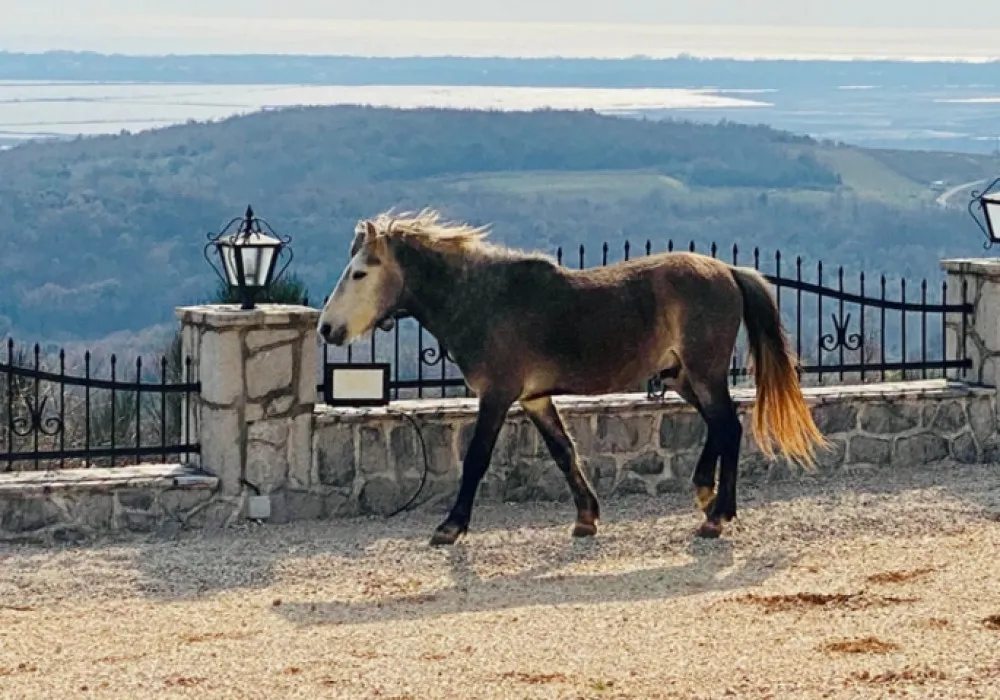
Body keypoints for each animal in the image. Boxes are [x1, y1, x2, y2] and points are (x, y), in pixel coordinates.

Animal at [320, 211, 828, 544]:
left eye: (360, 273)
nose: (328, 329)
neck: (485, 302)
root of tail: (727, 270)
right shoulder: (534, 398)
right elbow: (564, 452)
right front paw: (586, 518)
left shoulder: (497, 395)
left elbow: (477, 459)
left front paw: (451, 526)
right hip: (682, 376)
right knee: (725, 429)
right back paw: (713, 502)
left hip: (703, 373)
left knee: (726, 426)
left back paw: (715, 511)